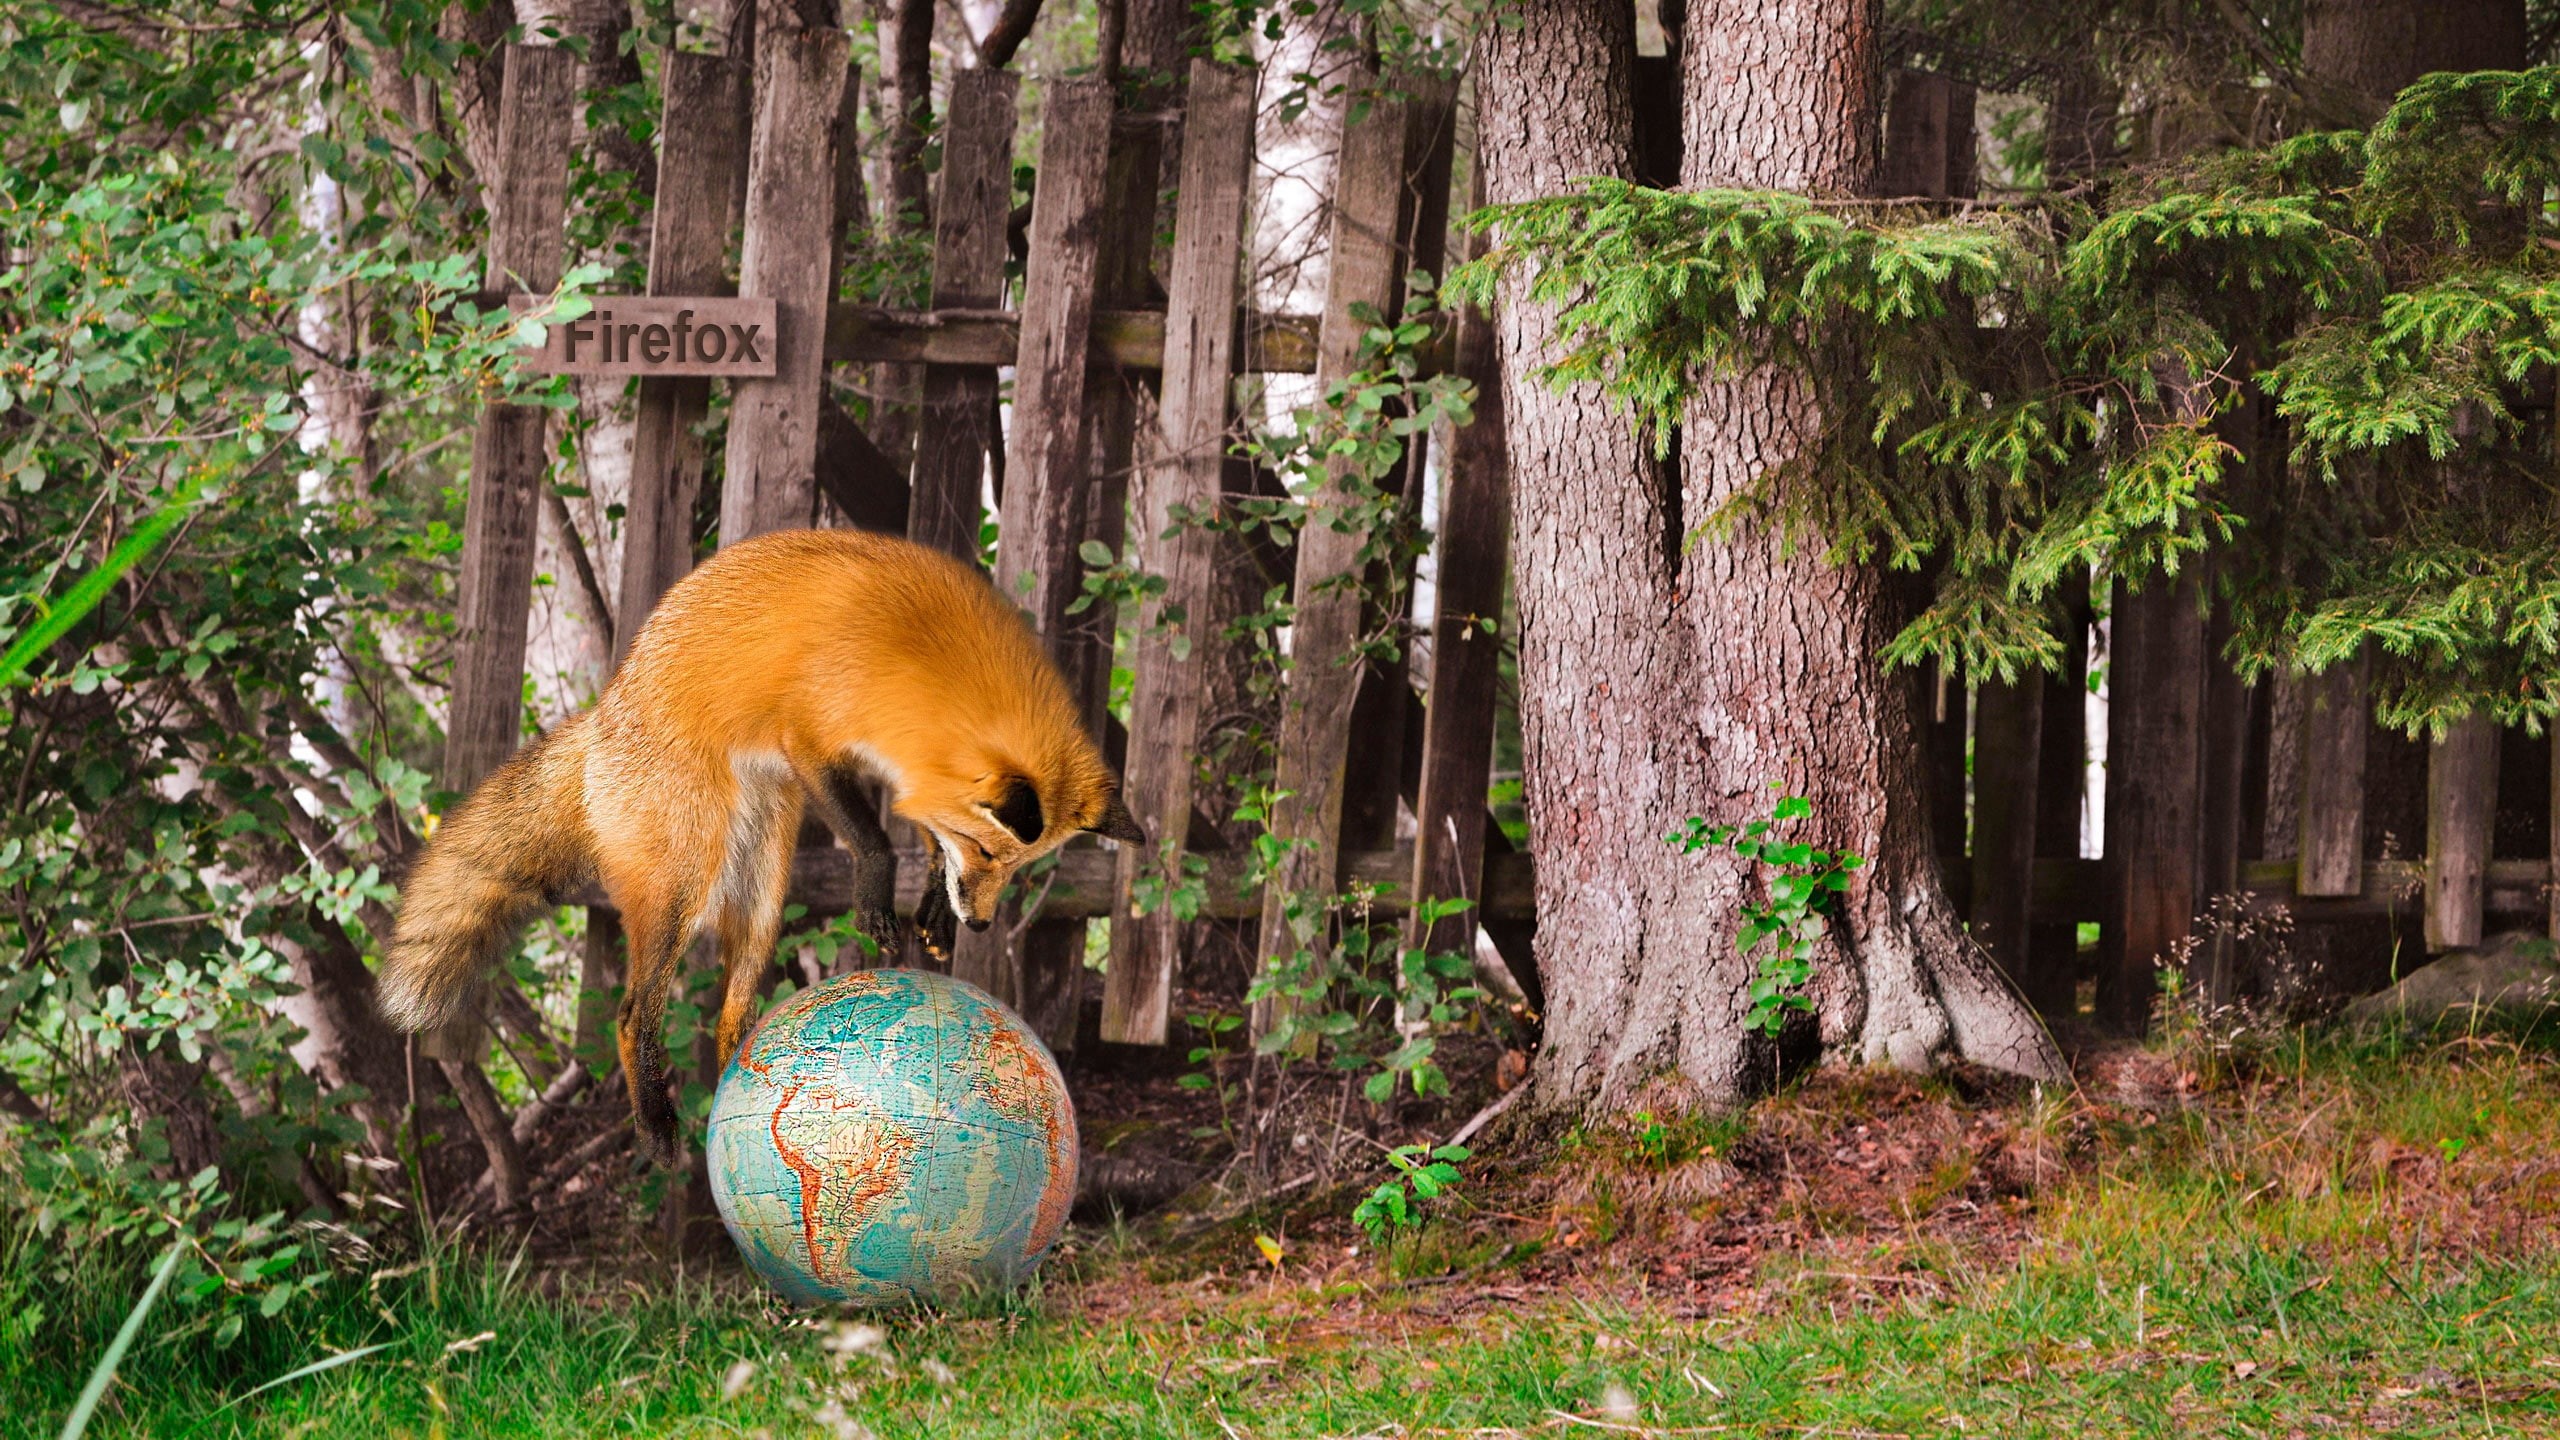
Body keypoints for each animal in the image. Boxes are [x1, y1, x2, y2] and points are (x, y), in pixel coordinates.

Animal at [377, 528, 1145, 1163]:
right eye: (987, 853)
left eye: (1015, 868)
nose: (980, 924)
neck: (925, 655)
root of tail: (602, 717)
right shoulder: (810, 739)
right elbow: (875, 842)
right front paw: (879, 902)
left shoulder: (901, 771)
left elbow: (921, 837)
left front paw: (930, 910)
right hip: (685, 882)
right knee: (631, 1013)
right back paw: (658, 1127)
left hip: (764, 894)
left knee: (729, 1016)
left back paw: (741, 1095)